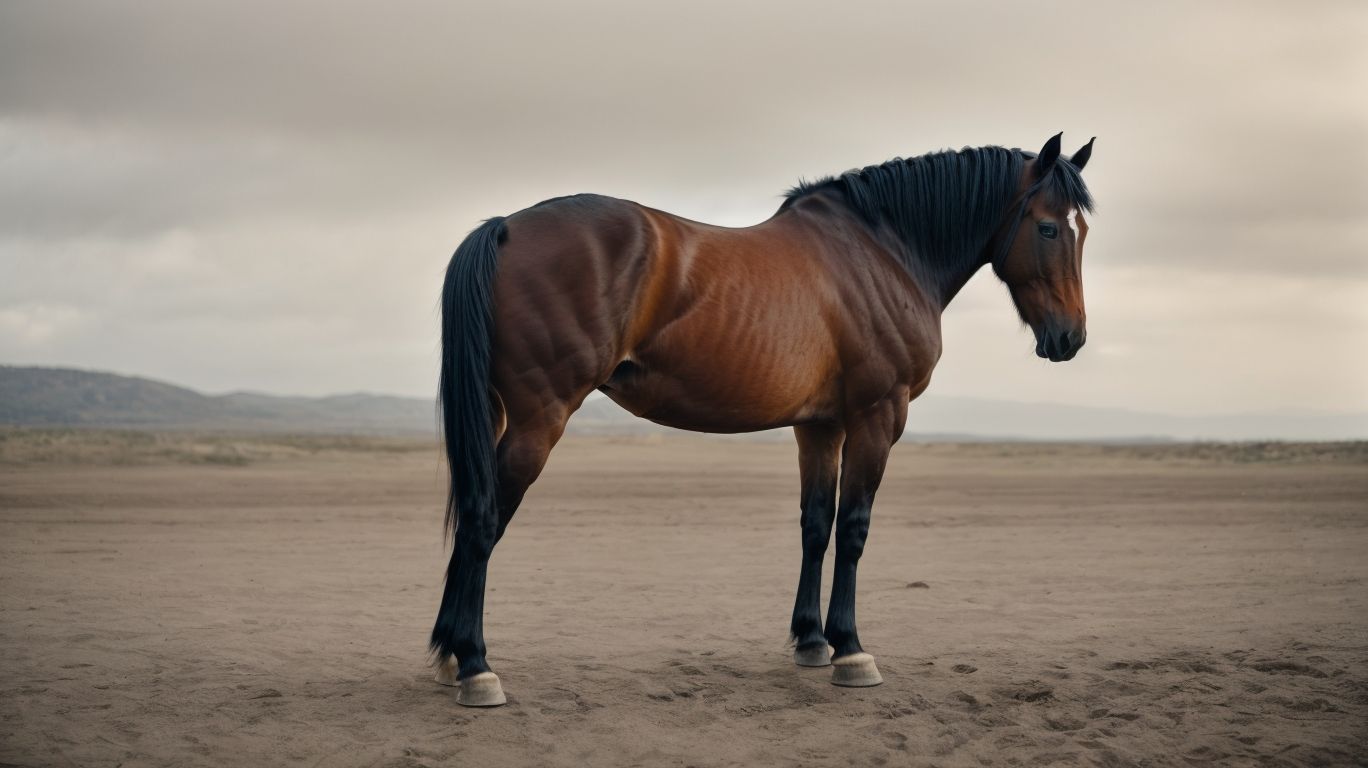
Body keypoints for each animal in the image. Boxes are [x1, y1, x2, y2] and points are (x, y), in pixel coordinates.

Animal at [430, 133, 1096, 706]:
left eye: (1083, 230)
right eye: (1047, 227)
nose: (1071, 339)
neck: (882, 253)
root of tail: (506, 227)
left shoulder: (821, 425)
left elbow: (816, 525)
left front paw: (812, 641)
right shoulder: (877, 416)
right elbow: (854, 529)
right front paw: (852, 651)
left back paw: (447, 654)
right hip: (539, 419)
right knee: (484, 520)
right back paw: (476, 665)